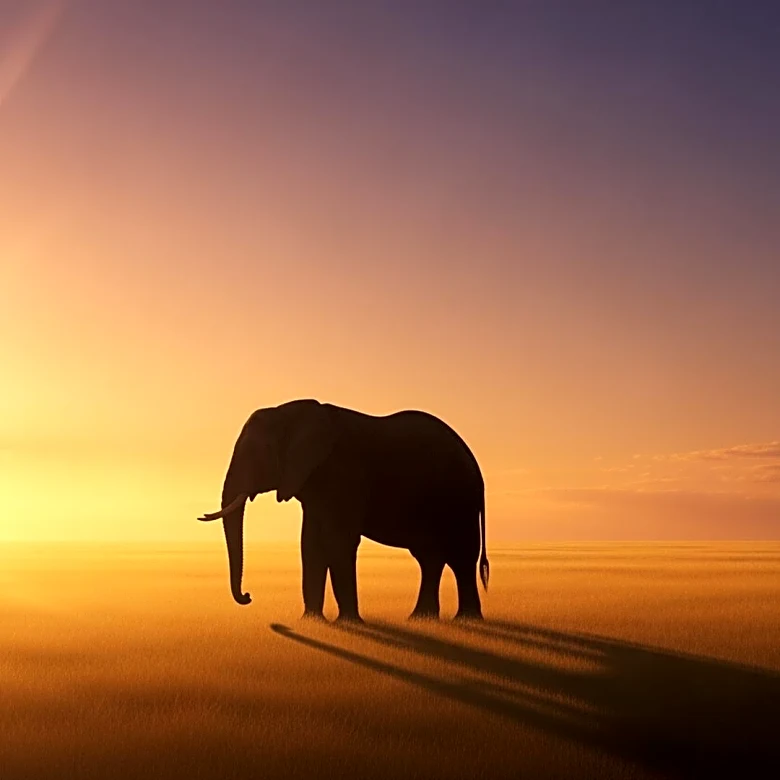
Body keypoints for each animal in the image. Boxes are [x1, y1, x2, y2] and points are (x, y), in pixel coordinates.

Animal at [198, 399, 489, 621]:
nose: (248, 596)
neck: (290, 412)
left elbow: (338, 542)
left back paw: (465, 620)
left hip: (460, 498)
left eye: (259, 453)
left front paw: (348, 622)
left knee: (461, 556)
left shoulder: (343, 475)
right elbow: (311, 544)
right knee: (430, 557)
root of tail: (475, 464)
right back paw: (422, 619)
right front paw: (311, 622)